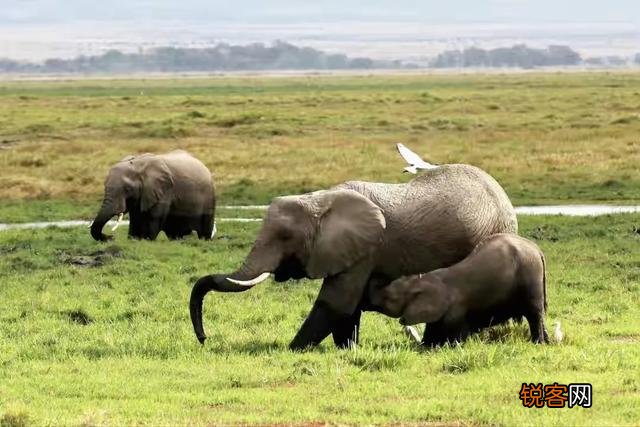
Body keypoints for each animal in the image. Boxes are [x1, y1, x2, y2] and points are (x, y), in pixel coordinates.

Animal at [190, 163, 517, 350]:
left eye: (284, 237)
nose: (205, 340)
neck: (319, 199)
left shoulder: (366, 248)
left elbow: (337, 302)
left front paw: (290, 350)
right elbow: (350, 307)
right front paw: (347, 350)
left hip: (495, 230)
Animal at [368, 233, 549, 346]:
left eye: (390, 297)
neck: (425, 279)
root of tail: (537, 250)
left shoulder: (456, 309)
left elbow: (456, 335)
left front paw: (450, 346)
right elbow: (432, 330)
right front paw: (426, 347)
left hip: (531, 278)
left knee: (534, 314)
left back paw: (538, 343)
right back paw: (546, 342)